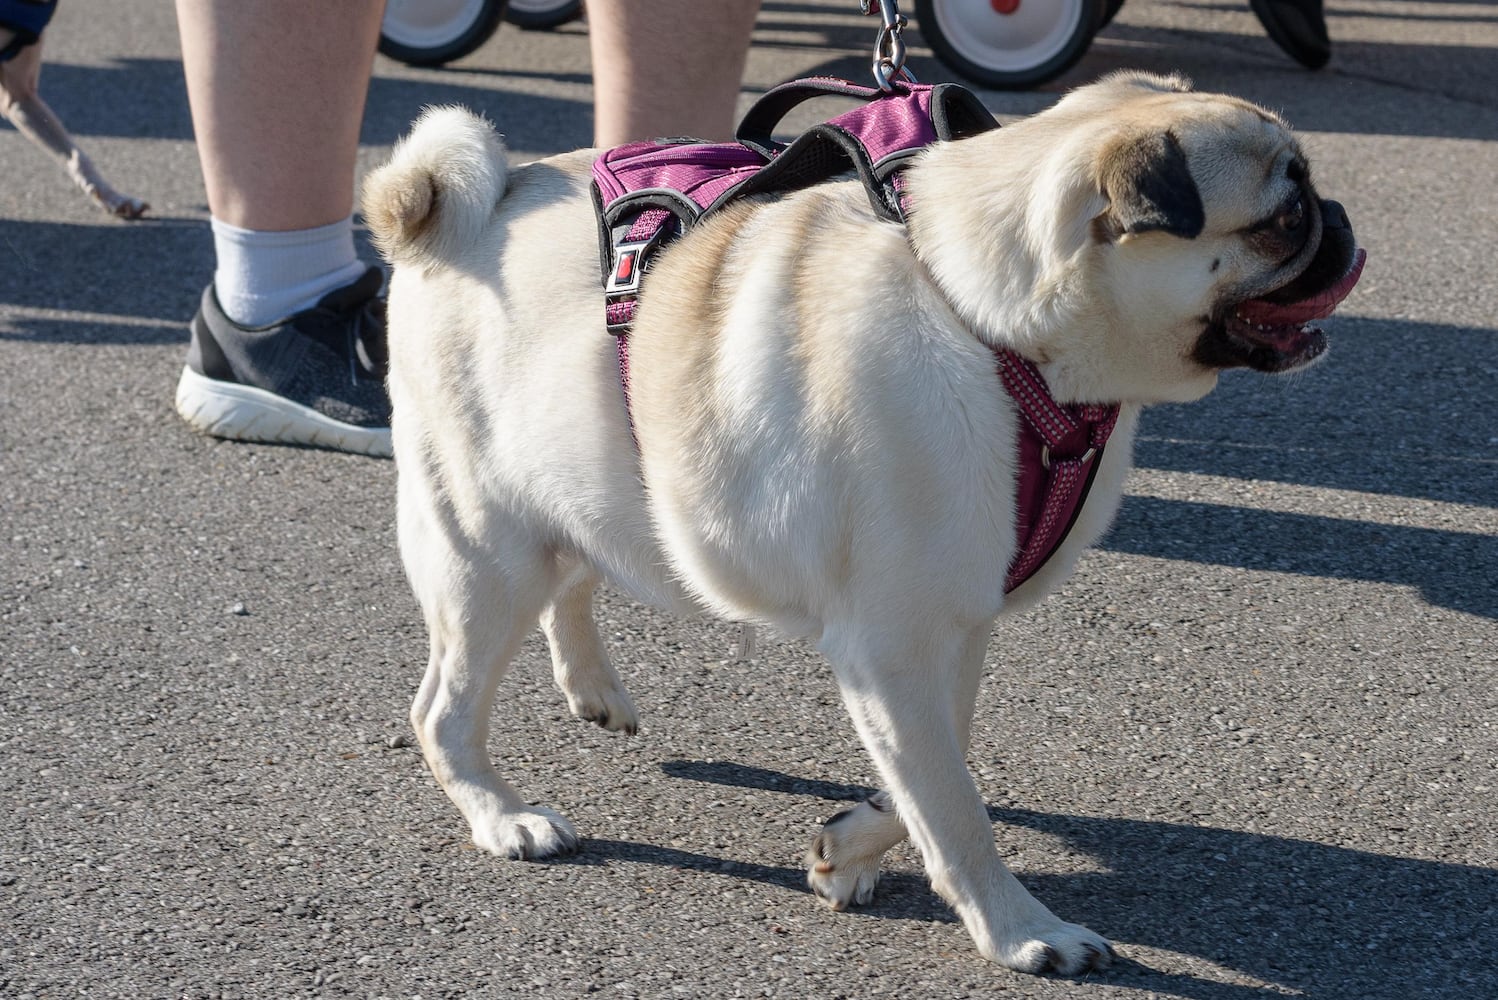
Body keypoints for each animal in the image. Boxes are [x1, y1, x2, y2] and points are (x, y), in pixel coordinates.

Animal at [359, 72, 1360, 976]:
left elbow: (935, 762)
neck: (990, 327)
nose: (1341, 221)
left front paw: (849, 848)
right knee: (443, 711)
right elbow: (955, 807)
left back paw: (595, 689)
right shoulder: (893, 642)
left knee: (576, 577)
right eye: (1282, 215)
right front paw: (1018, 931)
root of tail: (446, 217)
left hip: (576, 491)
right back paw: (504, 815)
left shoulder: (948, 625)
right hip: (486, 551)